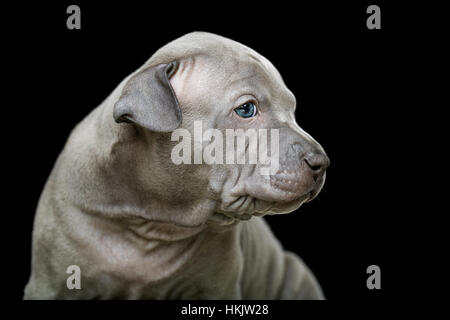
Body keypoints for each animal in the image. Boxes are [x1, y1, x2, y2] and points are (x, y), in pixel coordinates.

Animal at [24, 31, 330, 298]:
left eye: (292, 109)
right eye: (246, 109)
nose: (322, 162)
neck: (152, 222)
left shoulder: (216, 289)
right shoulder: (50, 285)